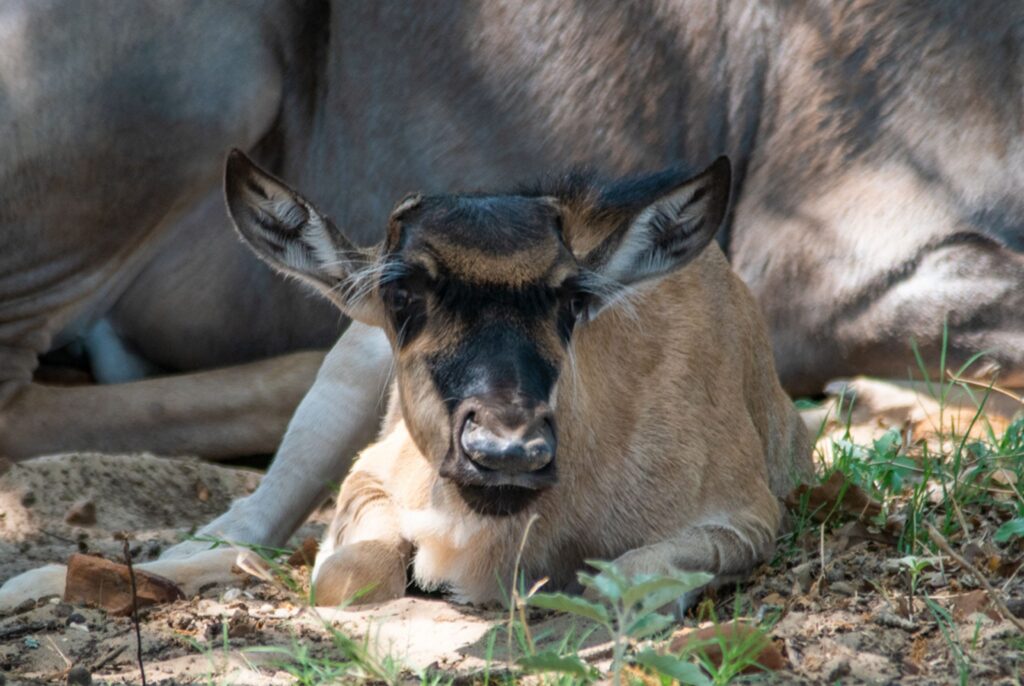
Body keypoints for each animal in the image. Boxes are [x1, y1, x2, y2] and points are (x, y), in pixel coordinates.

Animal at [225, 151, 812, 605]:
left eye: (573, 299)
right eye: (399, 293)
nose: (507, 450)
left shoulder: (747, 517)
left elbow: (625, 582)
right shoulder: (369, 474)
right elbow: (346, 574)